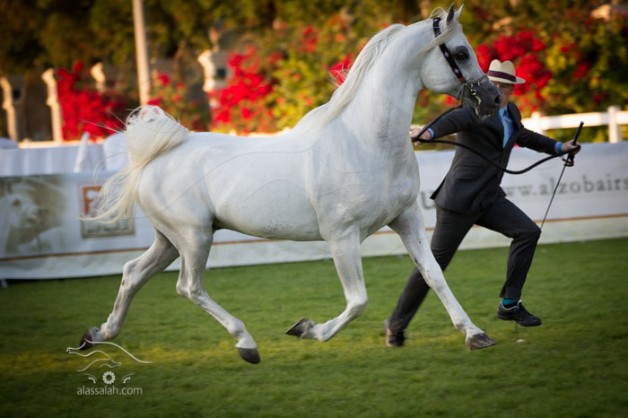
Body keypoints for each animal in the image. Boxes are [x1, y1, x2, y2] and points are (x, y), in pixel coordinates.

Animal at [81, 7, 500, 366]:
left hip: (170, 239)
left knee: (133, 272)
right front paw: (307, 329)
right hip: (193, 237)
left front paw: (476, 335)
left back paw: (98, 335)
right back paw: (246, 344)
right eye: (460, 52)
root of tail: (158, 155)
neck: (365, 142)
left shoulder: (407, 220)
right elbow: (358, 300)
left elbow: (433, 275)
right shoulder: (342, 236)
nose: (493, 99)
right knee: (189, 287)